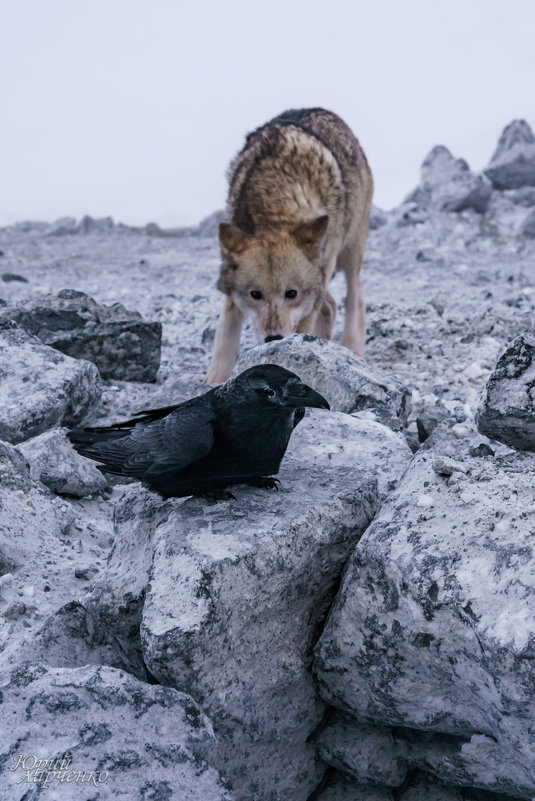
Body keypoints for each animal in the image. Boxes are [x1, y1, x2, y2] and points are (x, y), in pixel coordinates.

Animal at [204, 108, 372, 382]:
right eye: (255, 294)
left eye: (291, 293)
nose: (273, 337)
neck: (273, 202)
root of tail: (322, 110)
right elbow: (226, 323)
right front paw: (217, 376)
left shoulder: (310, 298)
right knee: (330, 306)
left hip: (349, 252)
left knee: (354, 298)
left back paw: (351, 348)